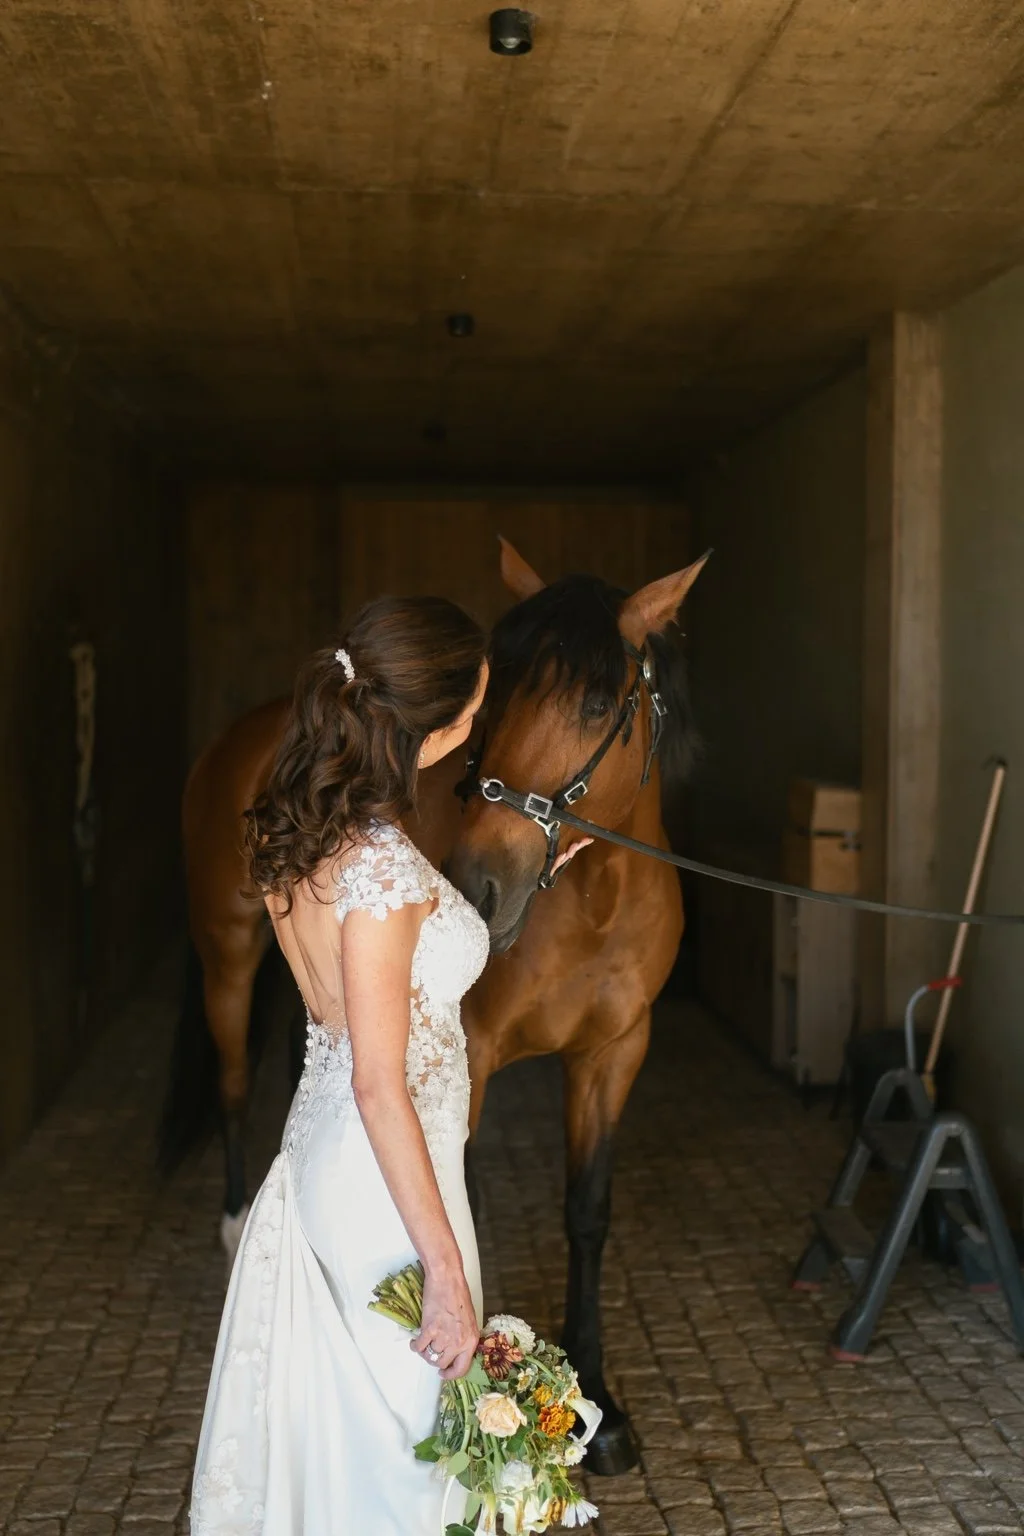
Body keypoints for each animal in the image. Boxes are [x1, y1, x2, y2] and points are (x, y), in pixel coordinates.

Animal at [160, 537, 706, 1474]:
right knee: (232, 1082)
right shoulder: (469, 1052)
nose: (479, 885)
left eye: (599, 702)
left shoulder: (614, 1054)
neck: (590, 900)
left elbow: (587, 1213)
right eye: (501, 692)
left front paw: (598, 1401)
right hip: (227, 959)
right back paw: (233, 1222)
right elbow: (457, 1206)